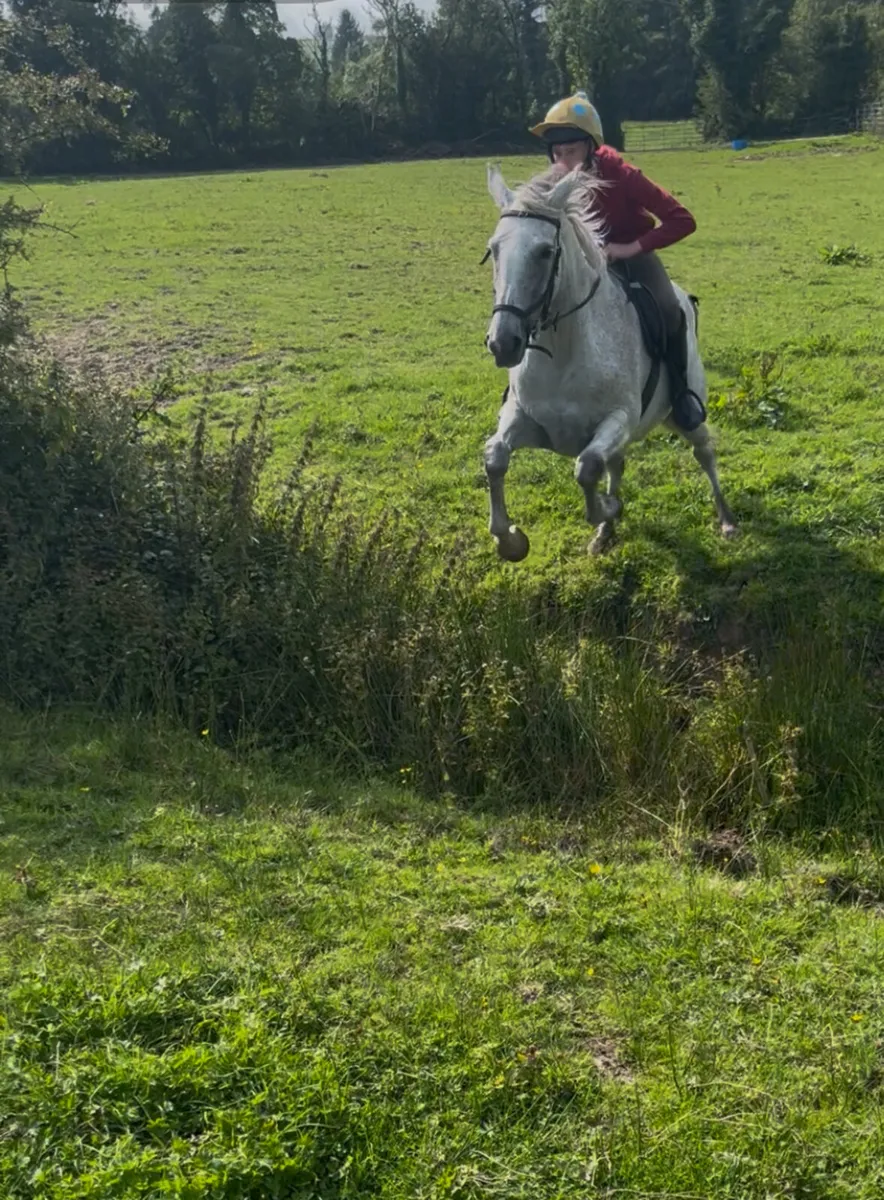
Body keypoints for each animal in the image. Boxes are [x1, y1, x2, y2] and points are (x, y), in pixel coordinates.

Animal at [483, 162, 737, 560]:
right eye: (493, 249)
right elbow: (495, 457)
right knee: (616, 463)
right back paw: (605, 533)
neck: (564, 353)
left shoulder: (618, 418)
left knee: (704, 452)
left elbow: (587, 468)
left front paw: (609, 507)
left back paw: (725, 519)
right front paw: (510, 540)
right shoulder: (525, 418)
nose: (503, 343)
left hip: (685, 415)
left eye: (545, 252)